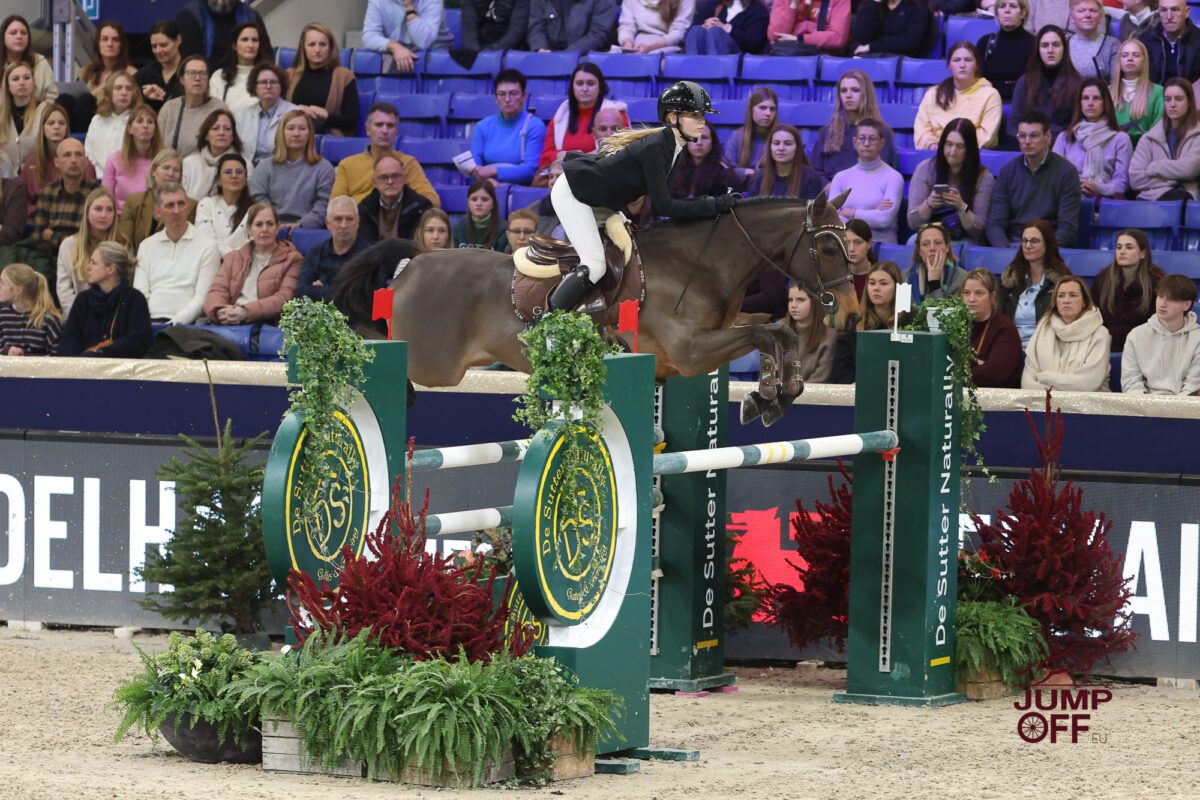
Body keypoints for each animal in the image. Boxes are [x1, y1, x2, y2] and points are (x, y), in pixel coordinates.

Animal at [348, 191, 858, 425]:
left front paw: (776, 395)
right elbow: (765, 332)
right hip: (434, 362)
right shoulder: (689, 353)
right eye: (828, 248)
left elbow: (778, 330)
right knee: (370, 347)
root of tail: (414, 263)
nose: (852, 311)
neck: (701, 264)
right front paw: (766, 395)